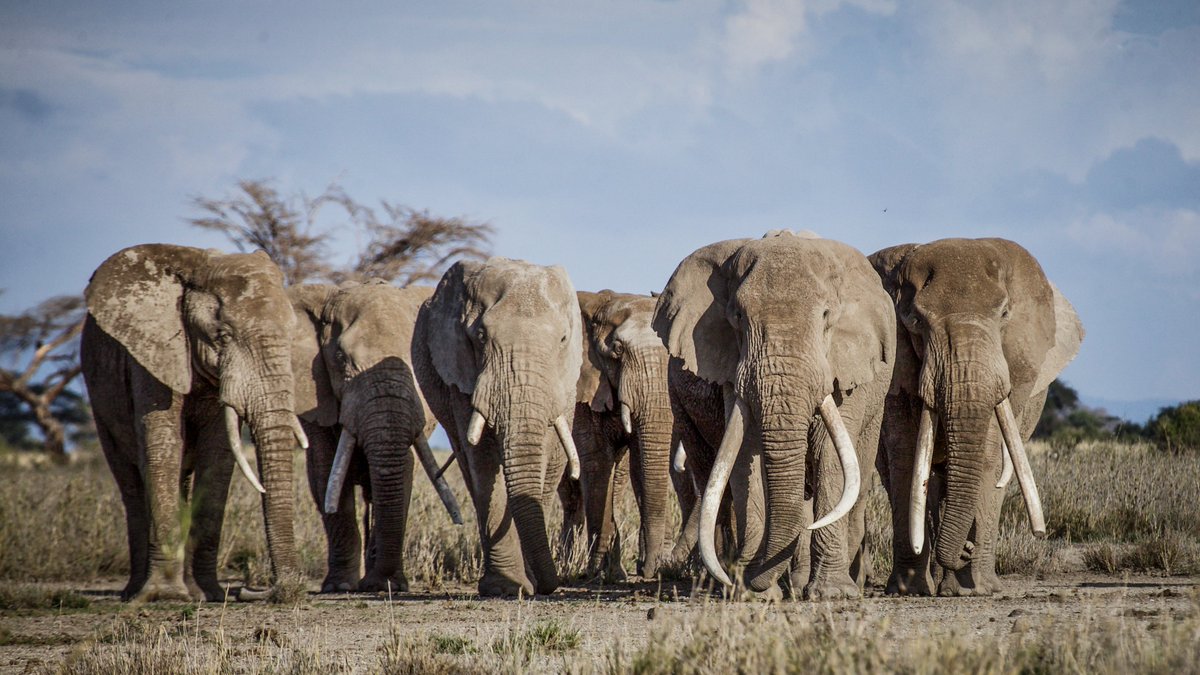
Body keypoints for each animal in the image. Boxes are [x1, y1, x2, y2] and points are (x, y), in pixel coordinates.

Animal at [81, 244, 308, 602]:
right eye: (223, 336)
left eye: (290, 333)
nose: (281, 589)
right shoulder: (153, 353)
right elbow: (163, 446)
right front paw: (166, 596)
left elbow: (217, 459)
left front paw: (209, 594)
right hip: (98, 395)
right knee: (130, 481)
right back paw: (134, 592)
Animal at [288, 280, 462, 594]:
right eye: (341, 359)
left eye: (417, 360)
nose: (384, 585)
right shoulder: (317, 398)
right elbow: (326, 474)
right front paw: (340, 586)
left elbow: (403, 472)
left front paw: (385, 584)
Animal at [412, 258, 583, 597]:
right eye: (480, 337)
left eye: (562, 340)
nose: (552, 585)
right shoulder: (461, 374)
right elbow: (483, 460)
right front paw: (505, 587)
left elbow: (540, 453)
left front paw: (520, 584)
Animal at [653, 230, 896, 599]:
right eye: (738, 317)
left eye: (826, 316)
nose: (750, 578)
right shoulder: (732, 365)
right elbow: (744, 453)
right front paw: (755, 594)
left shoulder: (846, 365)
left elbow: (829, 454)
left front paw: (832, 594)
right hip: (680, 406)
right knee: (710, 473)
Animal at [870, 238, 1083, 596]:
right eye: (915, 321)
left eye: (1005, 315)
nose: (965, 549)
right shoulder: (896, 369)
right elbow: (906, 455)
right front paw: (909, 590)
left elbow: (988, 454)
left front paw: (970, 589)